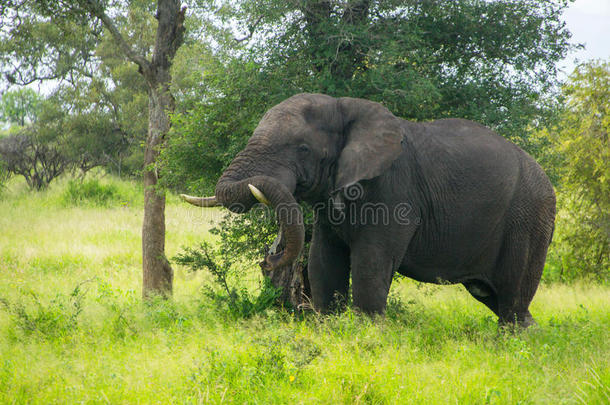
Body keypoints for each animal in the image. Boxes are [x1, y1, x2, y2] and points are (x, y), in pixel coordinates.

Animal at [178, 92, 552, 326]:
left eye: (302, 149)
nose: (268, 260)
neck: (345, 107)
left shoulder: (394, 189)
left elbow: (371, 261)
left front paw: (368, 334)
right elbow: (323, 259)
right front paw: (329, 327)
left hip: (530, 217)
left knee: (512, 300)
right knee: (492, 296)